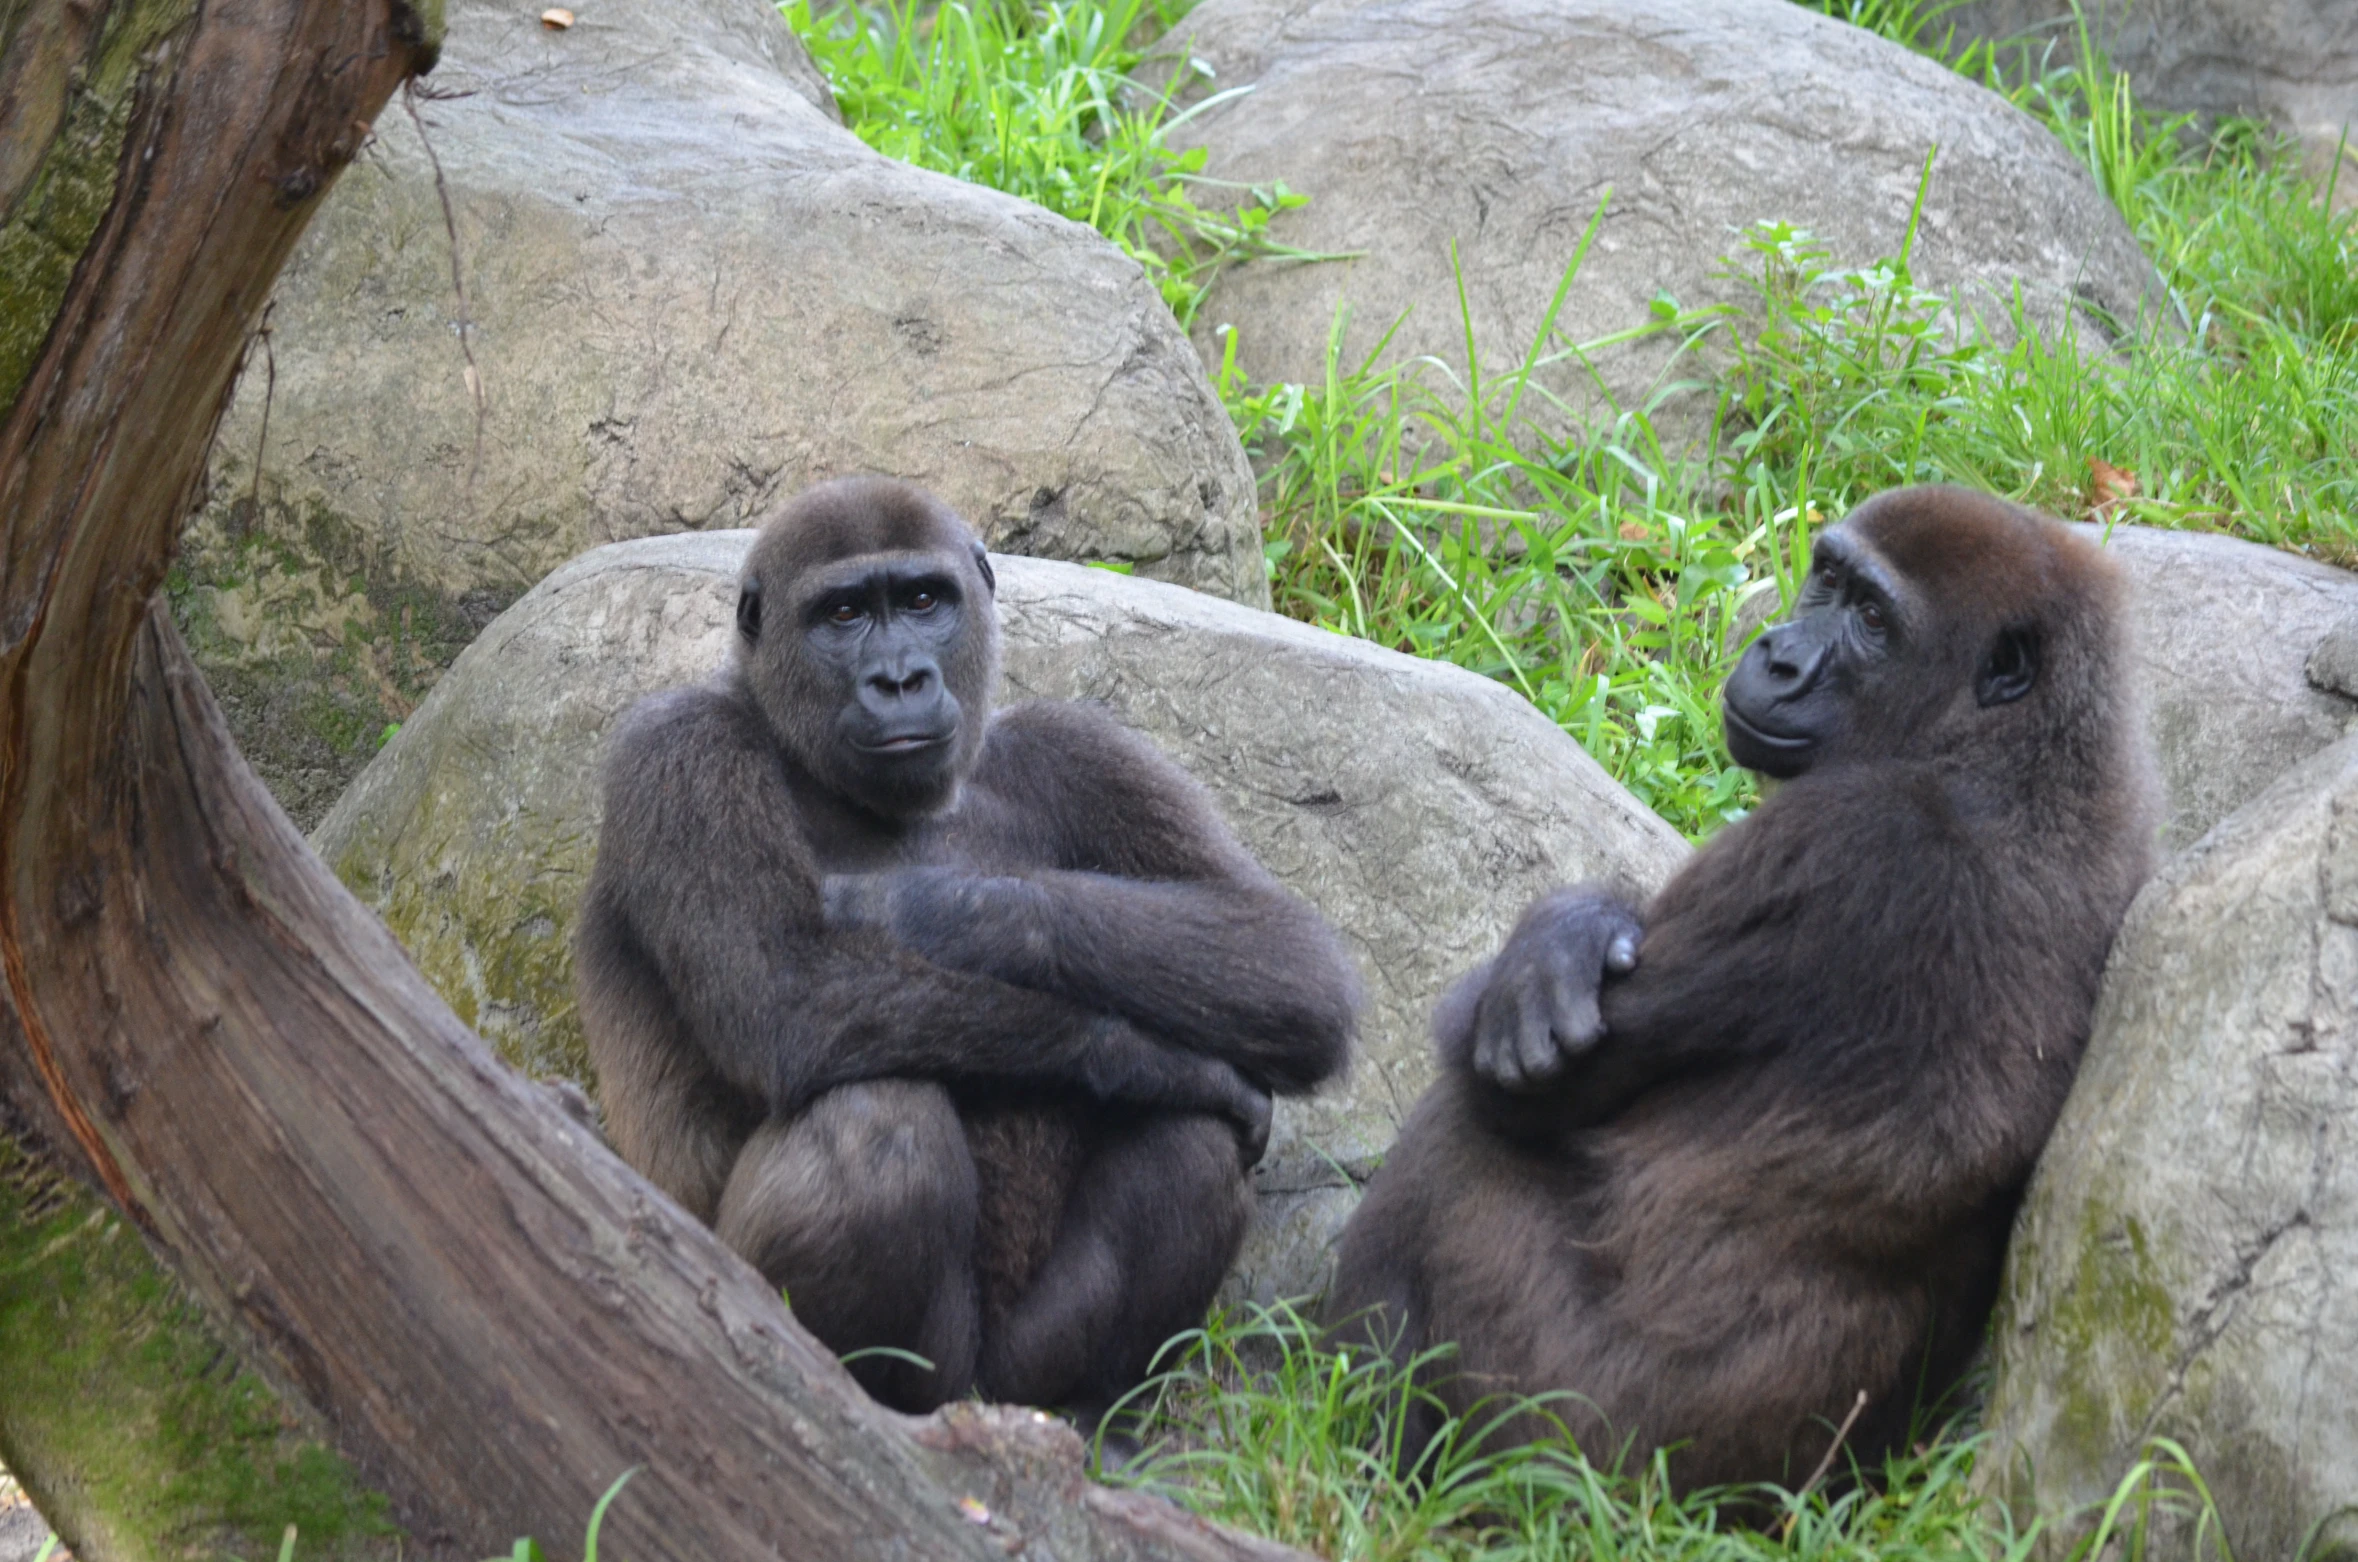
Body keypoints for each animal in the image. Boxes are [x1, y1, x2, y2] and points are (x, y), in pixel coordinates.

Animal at [572, 476, 1377, 1415]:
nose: (900, 679)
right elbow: (785, 995)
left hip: (1018, 1371)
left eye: (925, 600)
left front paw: (926, 906)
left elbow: (1287, 953)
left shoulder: (1074, 745)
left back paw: (1096, 1411)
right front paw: (1155, 1056)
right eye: (843, 614)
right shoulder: (678, 748)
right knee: (878, 1127)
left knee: (1194, 1143)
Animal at [1329, 486, 2159, 1491]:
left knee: (1459, 1138)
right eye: (1828, 579)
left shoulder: (1842, 841)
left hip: (1589, 1449)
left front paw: (1560, 937)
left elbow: (1500, 1081)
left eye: (1874, 621)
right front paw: (1578, 928)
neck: (2013, 748)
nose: (1779, 655)